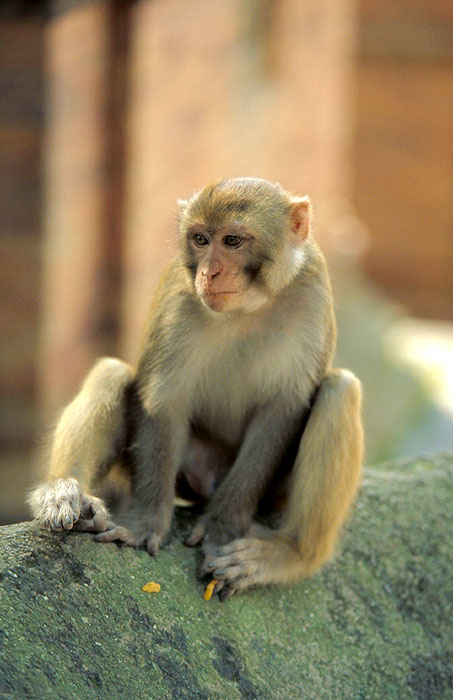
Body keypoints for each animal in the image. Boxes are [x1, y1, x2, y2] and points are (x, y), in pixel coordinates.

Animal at [29, 177, 363, 601]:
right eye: (201, 239)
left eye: (233, 241)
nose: (209, 272)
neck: (247, 310)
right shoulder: (179, 299)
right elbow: (164, 402)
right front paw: (144, 524)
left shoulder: (312, 294)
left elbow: (281, 413)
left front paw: (222, 528)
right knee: (112, 371)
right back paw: (67, 495)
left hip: (274, 493)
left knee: (340, 390)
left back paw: (292, 553)